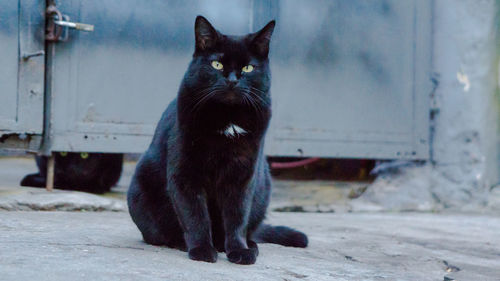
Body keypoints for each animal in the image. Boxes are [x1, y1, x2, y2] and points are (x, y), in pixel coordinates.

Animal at [128, 16, 308, 264]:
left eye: (248, 67)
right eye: (217, 65)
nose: (232, 80)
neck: (227, 118)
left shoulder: (242, 174)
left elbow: (237, 217)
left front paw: (239, 250)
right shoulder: (185, 174)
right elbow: (195, 215)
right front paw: (202, 249)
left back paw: (247, 245)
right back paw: (184, 243)